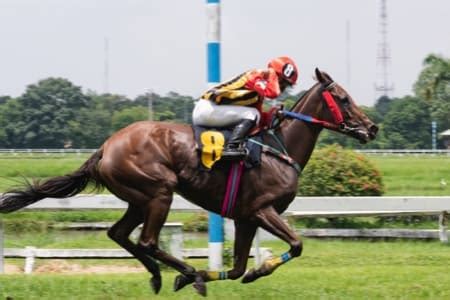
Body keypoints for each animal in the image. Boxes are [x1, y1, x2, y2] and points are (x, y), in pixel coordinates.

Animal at [0, 68, 376, 296]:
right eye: (343, 98)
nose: (371, 128)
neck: (278, 148)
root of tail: (106, 146)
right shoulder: (262, 209)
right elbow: (296, 245)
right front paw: (247, 273)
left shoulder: (245, 217)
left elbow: (237, 268)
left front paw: (244, 273)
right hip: (159, 191)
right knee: (148, 240)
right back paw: (187, 274)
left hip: (137, 198)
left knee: (119, 234)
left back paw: (157, 275)